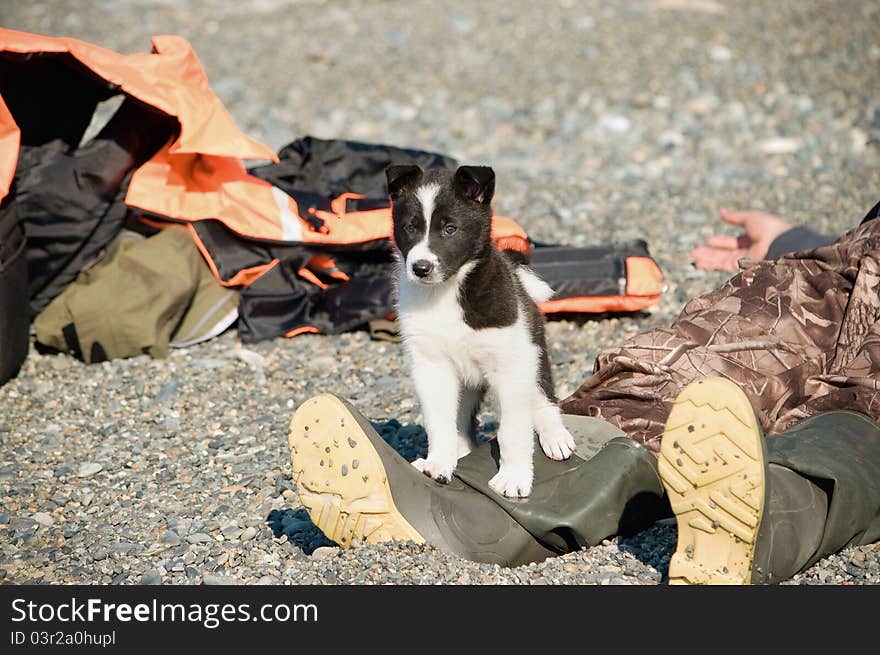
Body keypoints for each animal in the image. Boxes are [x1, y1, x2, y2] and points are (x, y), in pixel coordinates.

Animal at [384, 164, 576, 498]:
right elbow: (439, 422)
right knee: (461, 421)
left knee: (542, 397)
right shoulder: (431, 366)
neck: (446, 293)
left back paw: (555, 436)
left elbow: (513, 429)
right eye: (410, 227)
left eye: (450, 229)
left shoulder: (510, 365)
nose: (420, 268)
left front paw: (513, 478)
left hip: (533, 351)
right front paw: (438, 464)